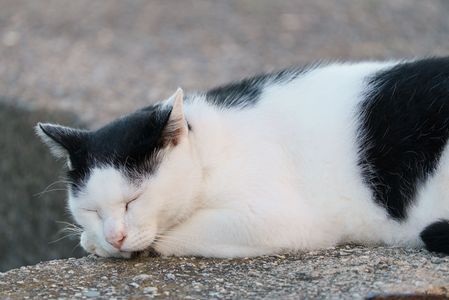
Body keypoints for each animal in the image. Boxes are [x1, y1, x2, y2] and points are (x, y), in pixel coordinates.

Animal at [36, 57, 448, 256]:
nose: (114, 236)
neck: (211, 148)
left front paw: (102, 245)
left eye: (132, 201)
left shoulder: (281, 219)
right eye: (91, 210)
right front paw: (95, 239)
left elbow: (169, 235)